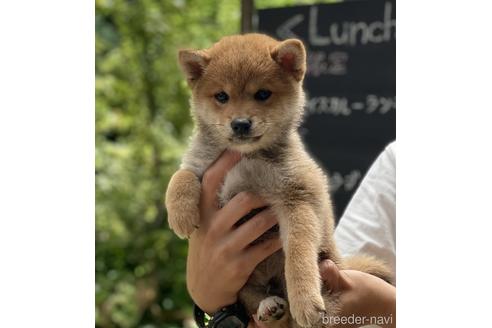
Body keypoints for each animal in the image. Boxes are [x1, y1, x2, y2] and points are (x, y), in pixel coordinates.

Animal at [165, 34, 392, 328]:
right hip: (247, 286)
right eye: (221, 96)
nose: (240, 123)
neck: (245, 157)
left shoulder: (296, 195)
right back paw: (270, 308)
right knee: (255, 300)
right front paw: (180, 215)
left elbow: (298, 254)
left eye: (262, 94)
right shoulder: (199, 164)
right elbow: (181, 176)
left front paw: (305, 299)